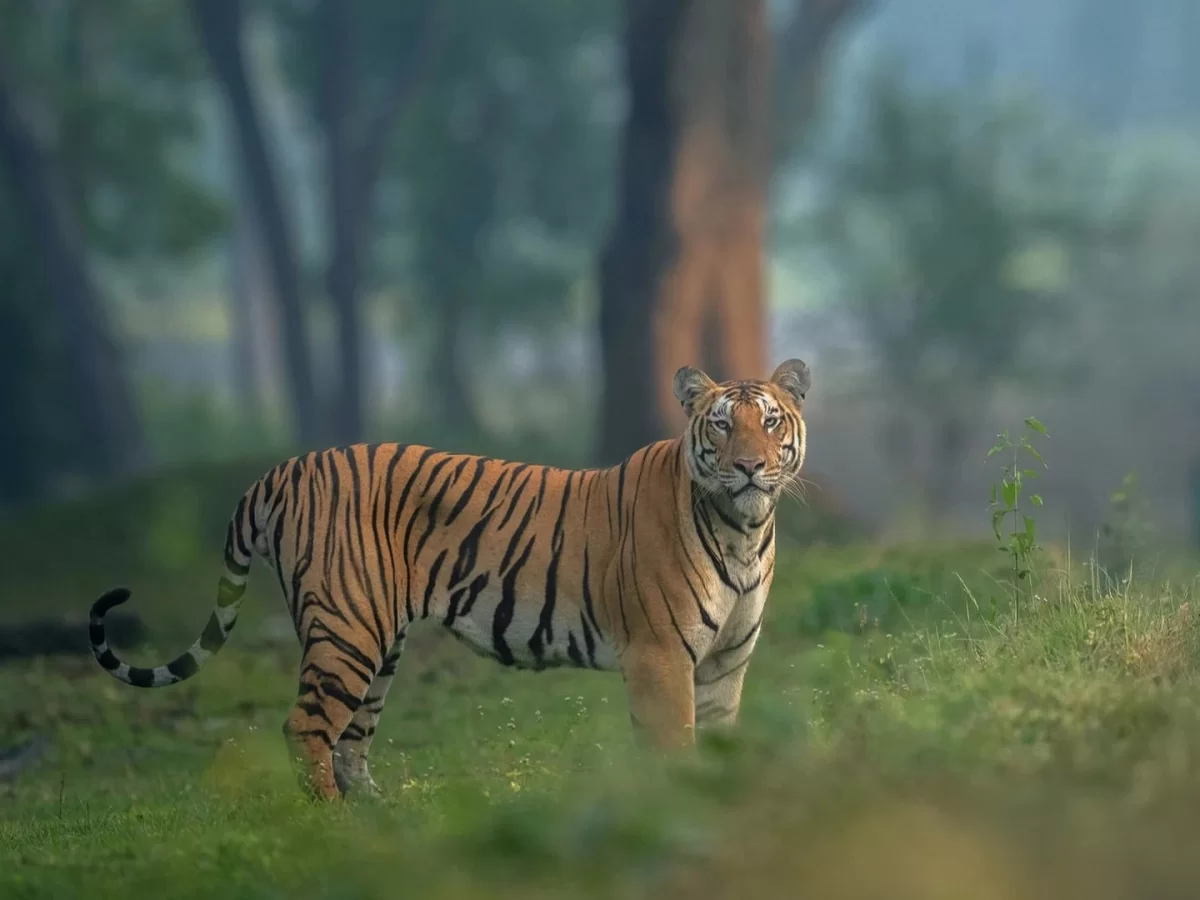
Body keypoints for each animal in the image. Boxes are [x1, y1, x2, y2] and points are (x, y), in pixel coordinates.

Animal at [87, 359, 811, 800]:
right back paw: (328, 826)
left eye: (771, 420)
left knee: (350, 742)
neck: (744, 529)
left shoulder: (723, 661)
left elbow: (718, 738)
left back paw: (383, 822)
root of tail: (284, 469)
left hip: (377, 643)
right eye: (722, 425)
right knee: (306, 730)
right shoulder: (660, 656)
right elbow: (674, 746)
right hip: (347, 631)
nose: (749, 466)